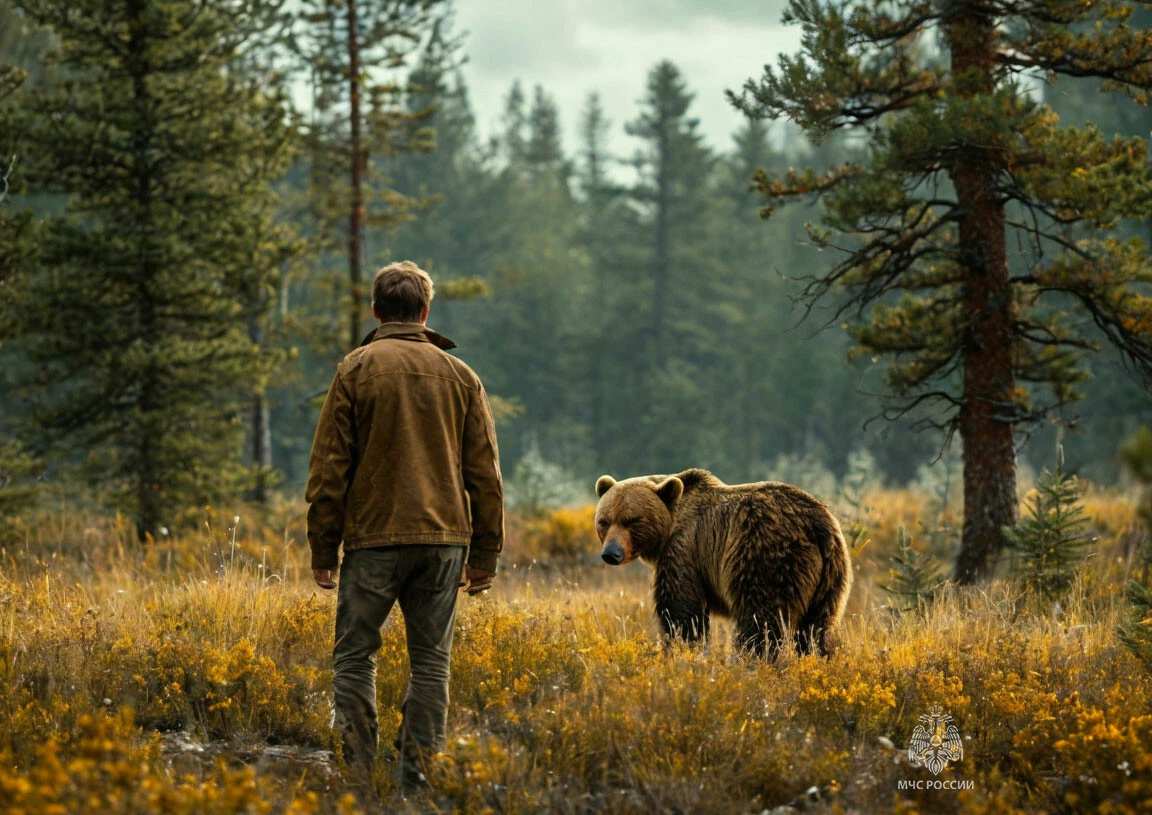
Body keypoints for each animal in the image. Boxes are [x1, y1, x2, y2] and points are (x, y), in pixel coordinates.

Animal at [599, 468, 852, 659]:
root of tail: (818, 526)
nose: (611, 553)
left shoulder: (685, 549)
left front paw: (682, 649)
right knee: (817, 628)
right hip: (831, 578)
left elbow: (681, 611)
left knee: (760, 620)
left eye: (632, 520)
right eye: (604, 521)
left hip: (767, 555)